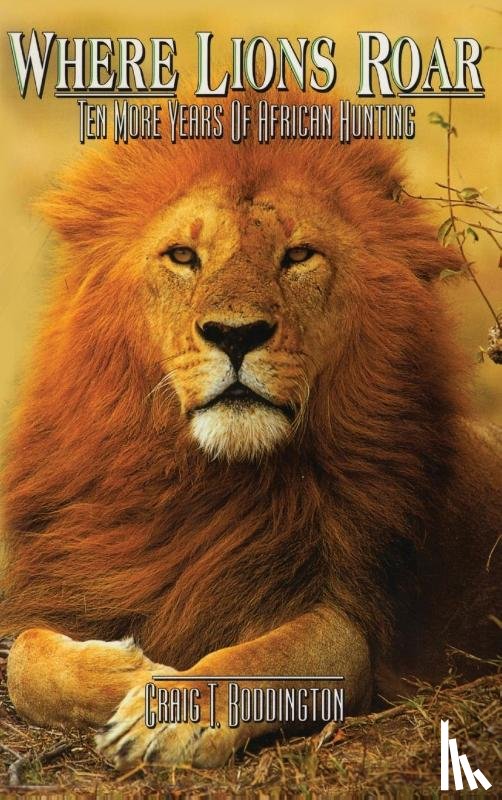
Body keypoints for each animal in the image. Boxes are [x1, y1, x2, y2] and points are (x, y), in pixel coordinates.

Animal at [1, 90, 501, 771]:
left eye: (298, 256)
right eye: (184, 256)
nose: (236, 335)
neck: (208, 480)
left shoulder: (345, 621)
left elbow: (265, 658)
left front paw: (171, 711)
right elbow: (24, 660)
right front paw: (134, 671)